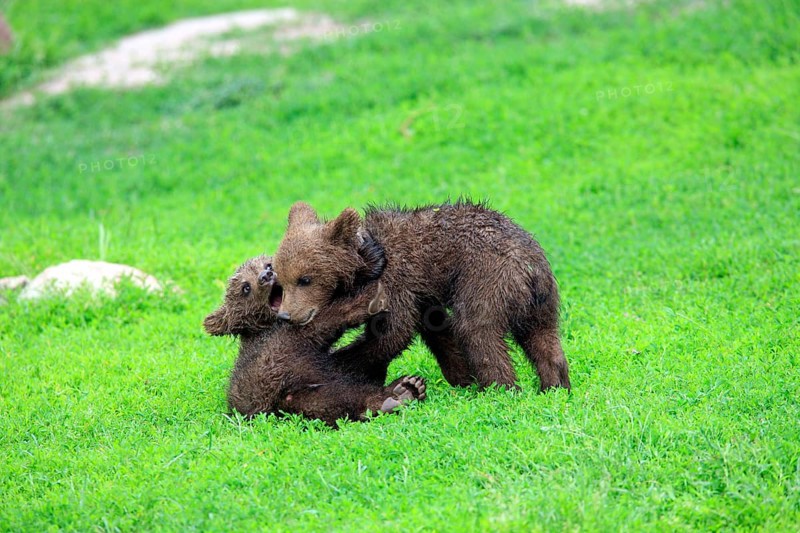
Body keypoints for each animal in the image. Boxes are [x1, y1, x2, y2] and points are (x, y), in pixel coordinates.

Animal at [204, 255, 427, 427]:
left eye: (267, 264)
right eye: (245, 287)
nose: (266, 276)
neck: (269, 323)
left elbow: (359, 357)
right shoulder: (288, 341)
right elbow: (329, 319)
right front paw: (372, 296)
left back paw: (408, 388)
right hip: (293, 398)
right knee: (340, 399)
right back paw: (397, 394)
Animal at [272, 200, 570, 392]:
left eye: (305, 279)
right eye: (281, 281)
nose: (287, 315)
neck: (369, 260)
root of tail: (529, 268)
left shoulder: (394, 282)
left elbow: (392, 332)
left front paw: (338, 362)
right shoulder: (421, 292)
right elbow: (436, 329)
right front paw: (461, 375)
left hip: (488, 278)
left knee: (477, 330)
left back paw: (501, 388)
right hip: (541, 299)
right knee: (543, 338)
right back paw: (554, 385)